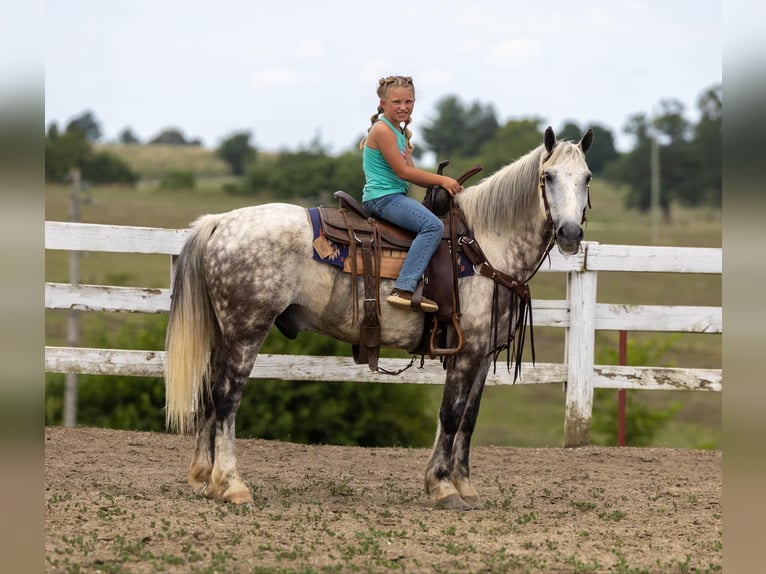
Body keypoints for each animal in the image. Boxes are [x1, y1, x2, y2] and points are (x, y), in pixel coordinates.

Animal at [164, 126, 594, 510]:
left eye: (587, 177)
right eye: (548, 176)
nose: (570, 234)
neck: (486, 247)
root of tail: (220, 222)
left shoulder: (482, 355)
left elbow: (468, 419)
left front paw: (465, 487)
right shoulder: (466, 351)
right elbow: (451, 415)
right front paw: (443, 488)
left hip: (224, 333)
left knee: (209, 392)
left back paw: (206, 480)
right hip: (246, 331)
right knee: (227, 397)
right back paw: (233, 484)